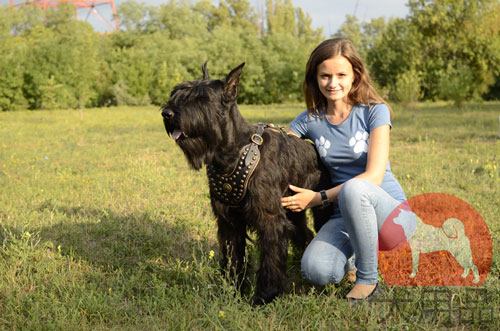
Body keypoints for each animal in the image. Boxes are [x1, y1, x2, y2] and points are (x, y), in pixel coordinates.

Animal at [162, 63, 330, 306]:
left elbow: (270, 259)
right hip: (294, 213)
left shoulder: (270, 219)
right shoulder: (229, 221)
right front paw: (233, 289)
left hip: (320, 209)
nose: (167, 113)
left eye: (201, 98)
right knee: (304, 234)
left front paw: (264, 295)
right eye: (176, 93)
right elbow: (234, 257)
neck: (232, 153)